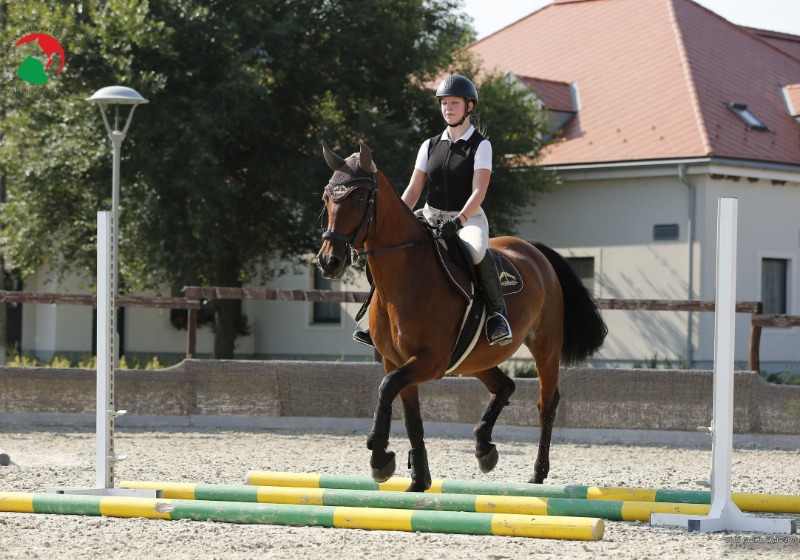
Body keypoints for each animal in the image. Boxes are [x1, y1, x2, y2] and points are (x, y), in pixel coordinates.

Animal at [316, 140, 604, 490]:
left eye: (359, 197)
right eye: (327, 198)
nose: (329, 261)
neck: (406, 275)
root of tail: (533, 250)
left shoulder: (431, 361)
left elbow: (387, 388)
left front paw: (380, 456)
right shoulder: (396, 361)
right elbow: (409, 416)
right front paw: (416, 479)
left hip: (545, 347)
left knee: (546, 404)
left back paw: (537, 473)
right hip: (474, 358)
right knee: (504, 386)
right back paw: (484, 448)